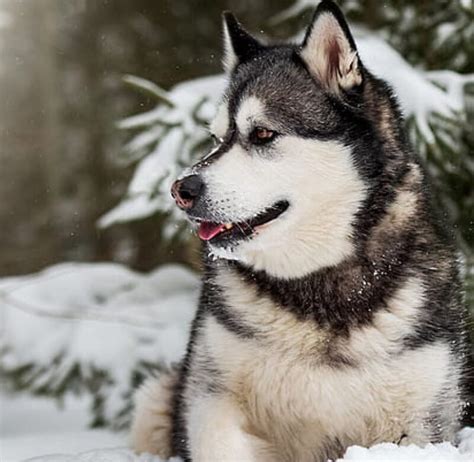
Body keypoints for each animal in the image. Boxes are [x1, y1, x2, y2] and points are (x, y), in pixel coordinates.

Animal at [131, 1, 470, 460]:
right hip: (156, 401)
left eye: (262, 133)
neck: (320, 286)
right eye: (217, 139)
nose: (180, 190)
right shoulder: (209, 396)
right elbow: (218, 438)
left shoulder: (422, 420)